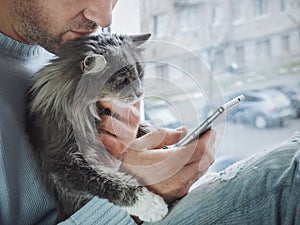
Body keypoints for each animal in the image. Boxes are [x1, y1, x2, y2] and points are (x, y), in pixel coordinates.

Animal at [25, 33, 169, 223]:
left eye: (140, 74)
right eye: (123, 80)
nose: (140, 93)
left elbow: (145, 128)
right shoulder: (64, 162)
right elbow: (111, 182)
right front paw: (152, 205)